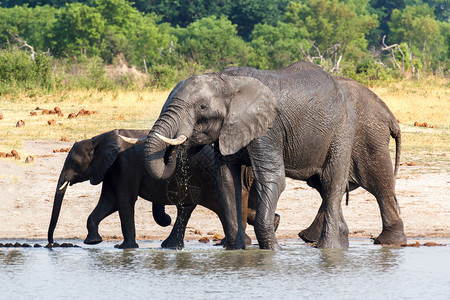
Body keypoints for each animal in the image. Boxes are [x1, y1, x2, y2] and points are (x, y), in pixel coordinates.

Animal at [47, 129, 276, 248]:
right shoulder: (112, 169)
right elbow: (109, 202)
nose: (51, 245)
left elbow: (123, 201)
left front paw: (125, 248)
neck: (98, 139)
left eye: (74, 163)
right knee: (190, 208)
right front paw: (93, 243)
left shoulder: (125, 165)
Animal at [143, 61, 356, 251]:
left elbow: (272, 179)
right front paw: (235, 250)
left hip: (342, 130)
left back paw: (329, 248)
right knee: (322, 185)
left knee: (331, 182)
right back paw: (342, 243)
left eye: (202, 107)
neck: (226, 81)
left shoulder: (268, 128)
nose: (178, 144)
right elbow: (227, 180)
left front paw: (273, 251)